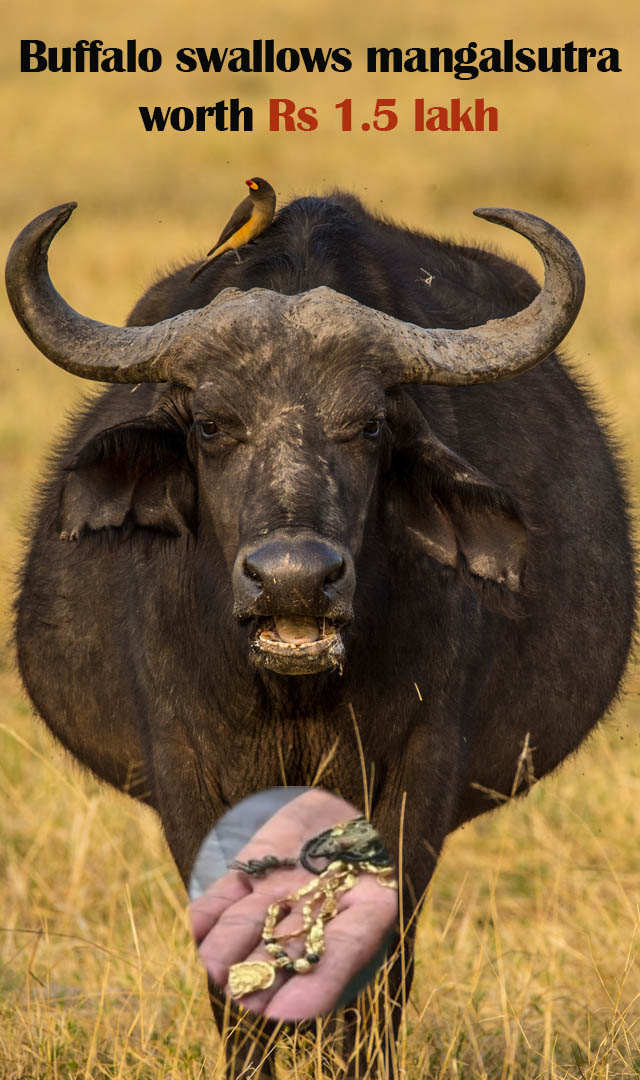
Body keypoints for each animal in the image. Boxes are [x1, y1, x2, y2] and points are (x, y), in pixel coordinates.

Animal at [6, 192, 636, 1077]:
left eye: (368, 426)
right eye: (210, 424)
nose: (294, 578)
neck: (291, 696)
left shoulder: (417, 777)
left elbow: (378, 957)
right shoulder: (188, 774)